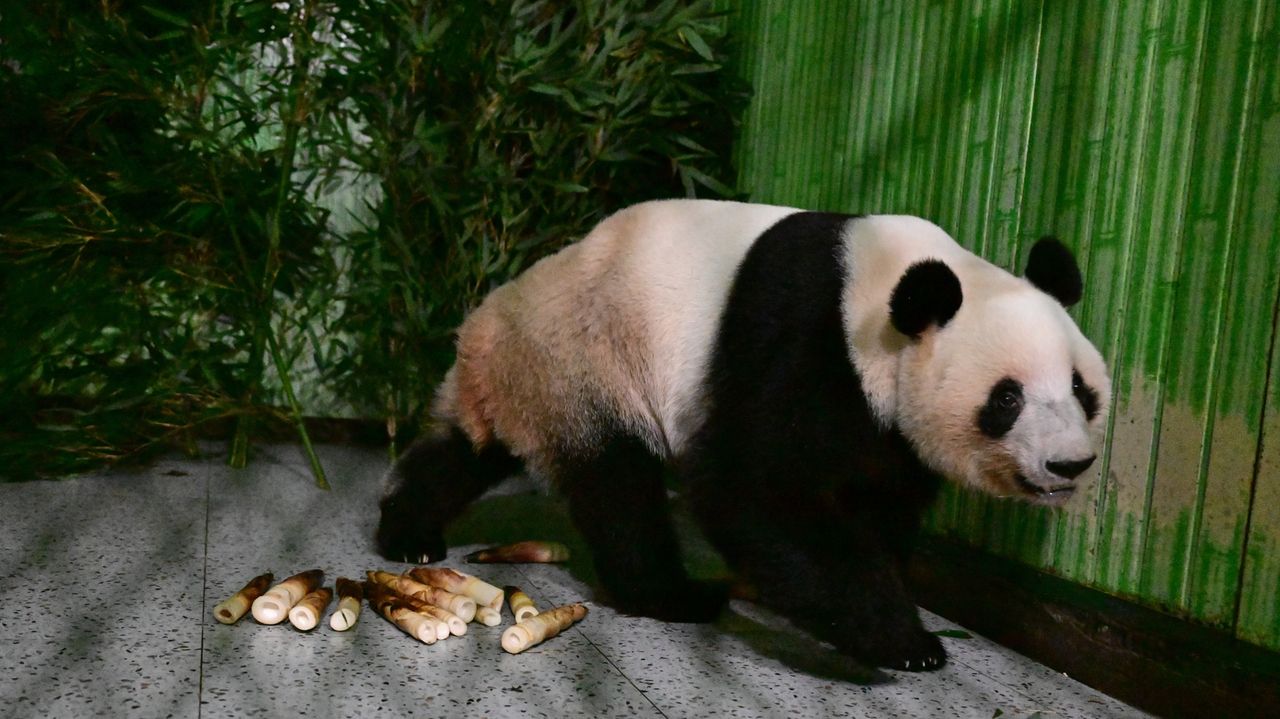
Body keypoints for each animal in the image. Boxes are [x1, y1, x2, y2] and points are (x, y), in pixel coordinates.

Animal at [376, 199, 1111, 671]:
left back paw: (406, 530)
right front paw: (900, 637)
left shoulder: (888, 427)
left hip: (531, 382)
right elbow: (752, 486)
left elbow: (878, 499)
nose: (1070, 464)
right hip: (584, 363)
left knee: (465, 453)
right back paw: (673, 594)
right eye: (1007, 398)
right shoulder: (803, 336)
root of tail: (486, 320)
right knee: (619, 486)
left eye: (1082, 389)